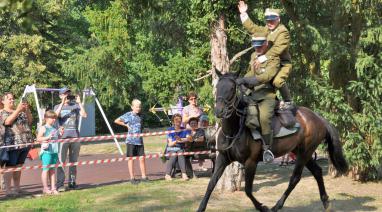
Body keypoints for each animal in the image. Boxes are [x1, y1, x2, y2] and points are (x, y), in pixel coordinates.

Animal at [197, 72, 350, 211]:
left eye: (232, 88)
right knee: (317, 171)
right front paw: (201, 207)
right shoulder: (222, 158)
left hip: (305, 153)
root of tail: (319, 118)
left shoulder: (251, 162)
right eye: (218, 87)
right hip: (301, 152)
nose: (219, 111)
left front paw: (262, 207)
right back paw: (325, 201)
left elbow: (248, 190)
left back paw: (277, 205)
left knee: (295, 178)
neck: (234, 131)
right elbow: (211, 184)